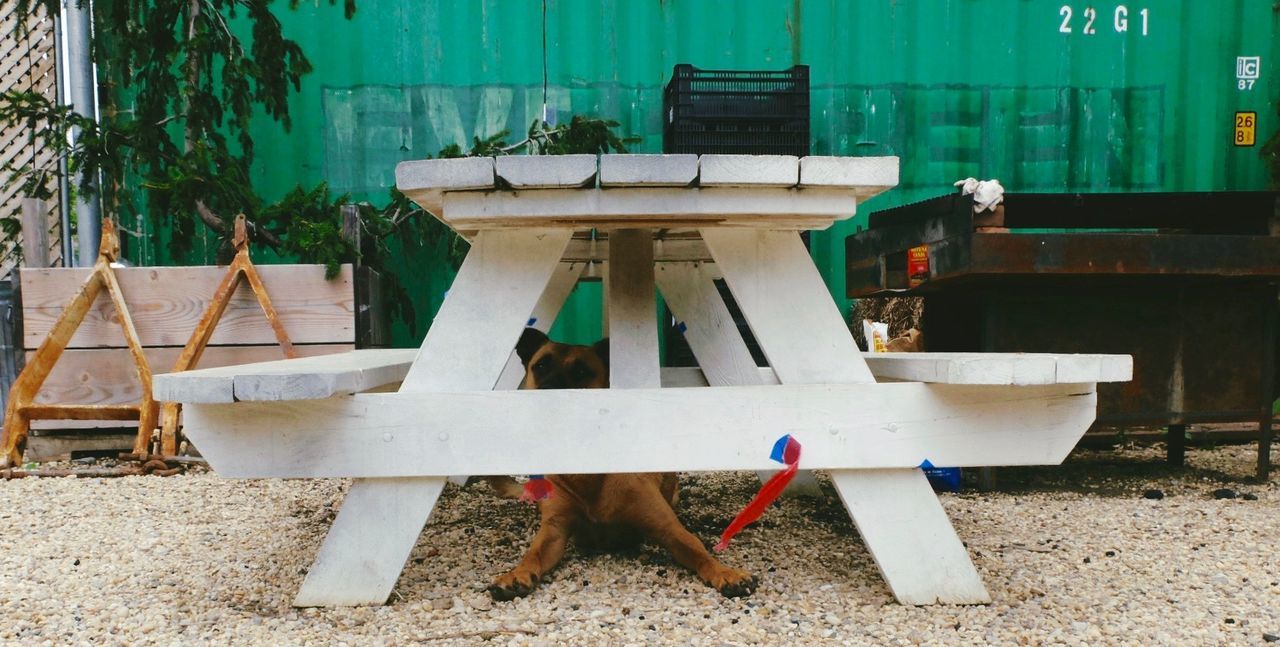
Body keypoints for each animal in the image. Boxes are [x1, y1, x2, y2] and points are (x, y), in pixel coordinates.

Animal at [481, 327, 757, 599]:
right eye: (540, 366)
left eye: (581, 371)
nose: (549, 392)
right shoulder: (554, 531)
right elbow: (532, 554)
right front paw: (516, 574)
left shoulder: (668, 528)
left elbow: (698, 549)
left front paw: (725, 572)